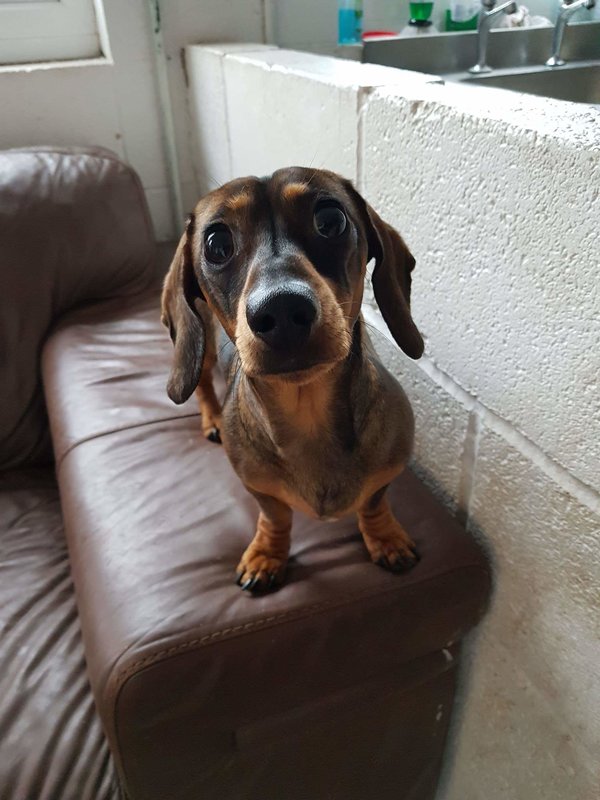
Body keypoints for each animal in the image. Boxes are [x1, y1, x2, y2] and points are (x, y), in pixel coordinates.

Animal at [161, 167, 424, 593]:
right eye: (217, 244)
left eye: (331, 220)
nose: (282, 310)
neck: (307, 410)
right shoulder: (257, 486)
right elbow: (276, 516)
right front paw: (267, 554)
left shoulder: (387, 474)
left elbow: (373, 503)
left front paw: (385, 538)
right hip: (202, 350)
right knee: (201, 384)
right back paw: (212, 418)